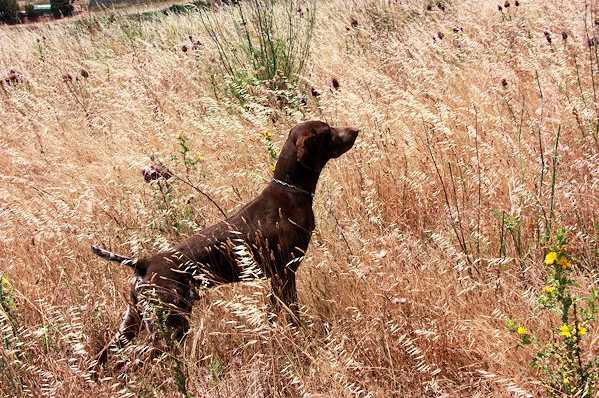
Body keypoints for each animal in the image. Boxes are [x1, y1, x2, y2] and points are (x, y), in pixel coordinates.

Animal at [91, 120, 358, 364]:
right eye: (327, 131)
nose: (355, 130)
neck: (290, 190)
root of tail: (142, 262)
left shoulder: (277, 277)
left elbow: (273, 313)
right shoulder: (285, 273)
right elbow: (292, 313)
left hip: (133, 321)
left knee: (108, 355)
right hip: (170, 323)